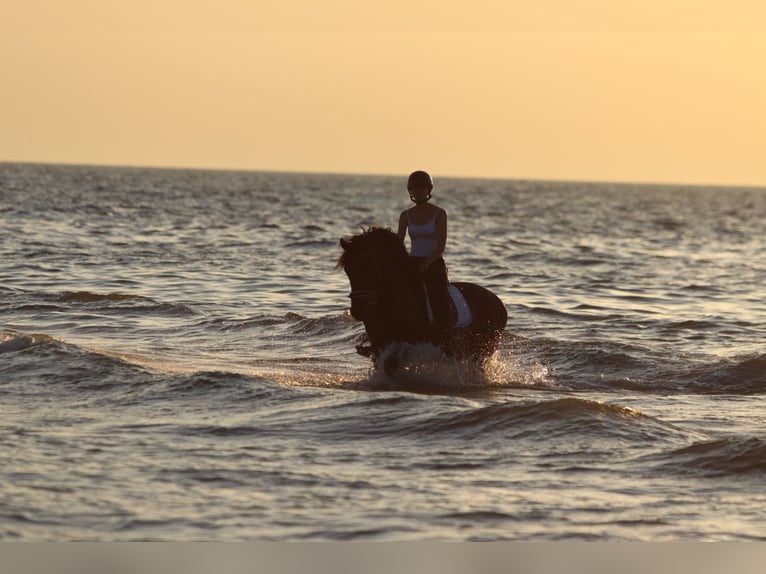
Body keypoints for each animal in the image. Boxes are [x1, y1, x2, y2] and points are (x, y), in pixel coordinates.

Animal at [338, 228, 508, 368]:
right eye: (348, 270)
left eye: (368, 267)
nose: (358, 310)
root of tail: (498, 302)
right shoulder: (381, 344)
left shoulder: (409, 344)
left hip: (481, 349)